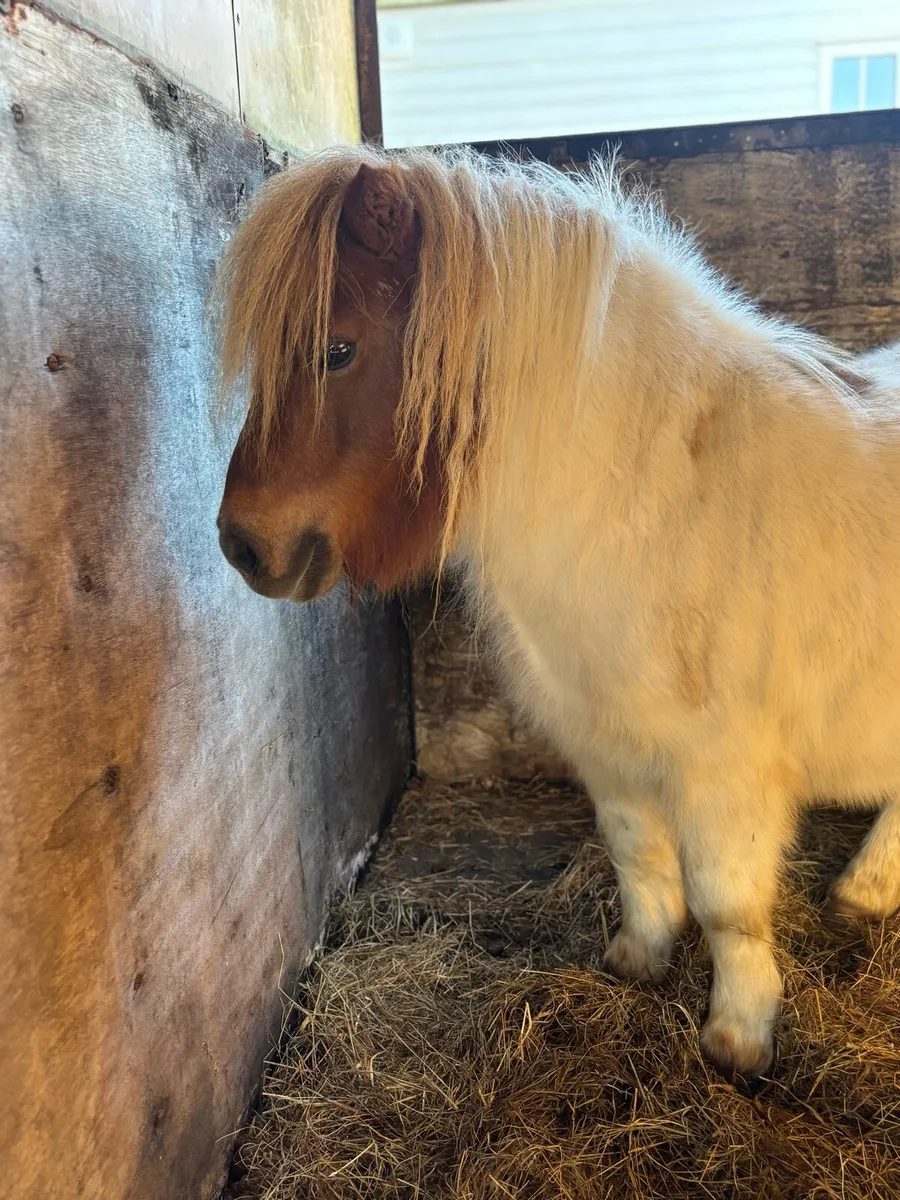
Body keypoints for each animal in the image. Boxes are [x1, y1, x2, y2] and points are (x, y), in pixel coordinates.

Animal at [214, 144, 900, 1077]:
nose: (244, 547)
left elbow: (727, 903)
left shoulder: (724, 770)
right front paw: (638, 961)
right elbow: (638, 855)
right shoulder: (603, 741)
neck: (656, 502)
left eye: (338, 349)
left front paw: (737, 1038)